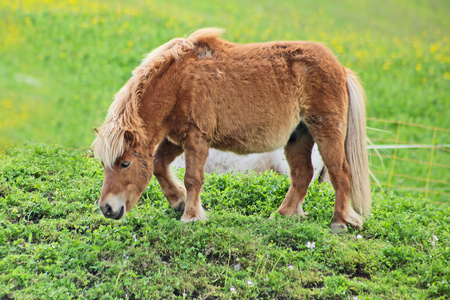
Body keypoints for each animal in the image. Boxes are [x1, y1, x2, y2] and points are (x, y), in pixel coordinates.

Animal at [91, 28, 370, 233]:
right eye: (105, 164)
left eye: (125, 163)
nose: (107, 209)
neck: (179, 82)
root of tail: (340, 69)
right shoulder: (177, 138)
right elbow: (159, 164)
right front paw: (178, 203)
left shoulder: (196, 138)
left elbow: (193, 178)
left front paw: (191, 216)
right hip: (298, 137)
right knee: (302, 175)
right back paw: (283, 215)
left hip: (326, 131)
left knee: (341, 173)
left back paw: (339, 222)